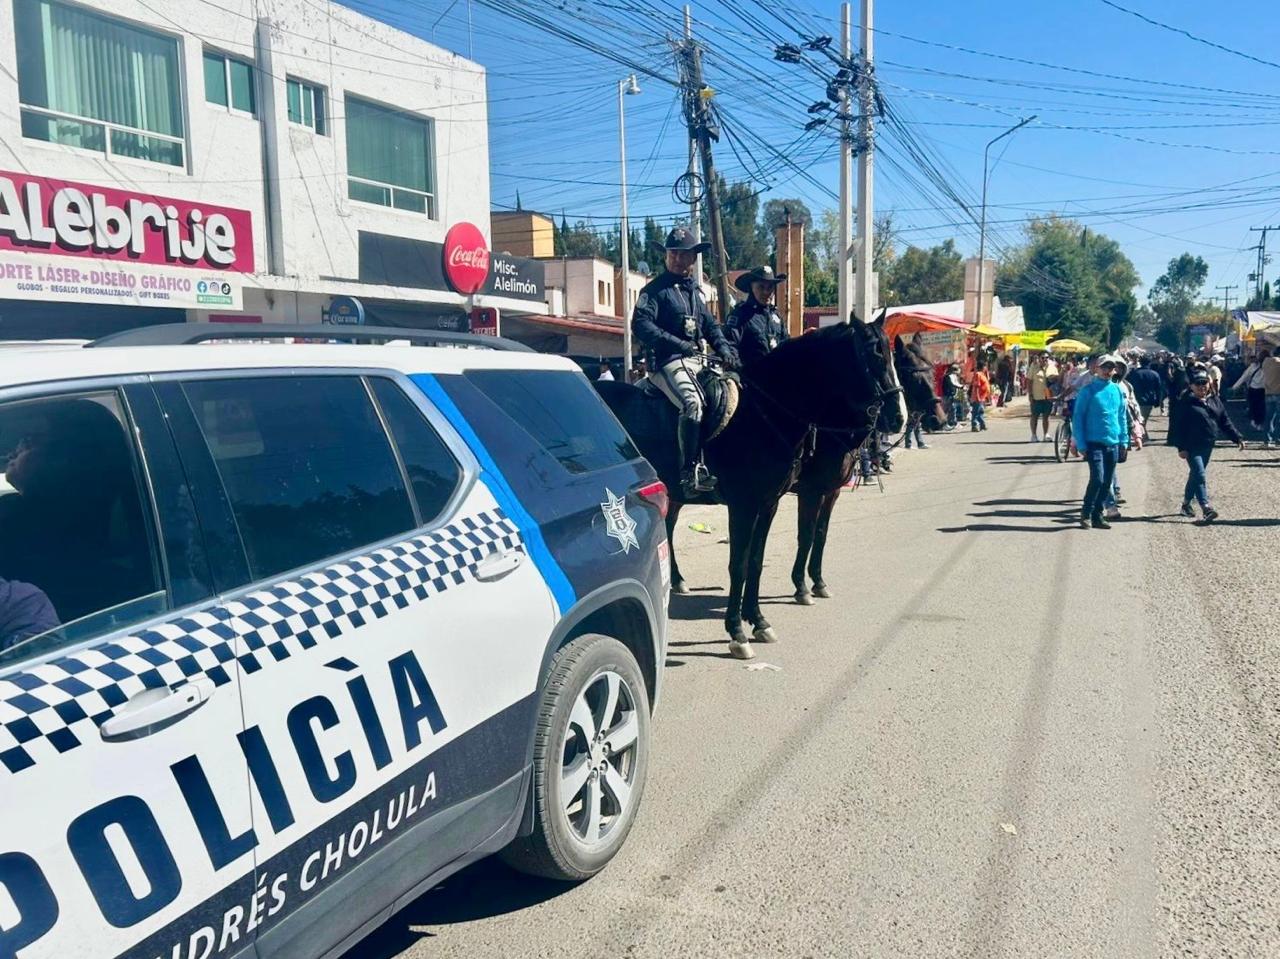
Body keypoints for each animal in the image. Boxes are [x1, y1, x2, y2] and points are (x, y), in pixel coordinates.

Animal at [596, 316, 906, 660]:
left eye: (894, 357)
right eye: (873, 355)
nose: (898, 417)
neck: (765, 415)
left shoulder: (776, 502)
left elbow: (763, 558)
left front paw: (758, 619)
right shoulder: (757, 503)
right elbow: (746, 561)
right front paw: (738, 630)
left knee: (670, 528)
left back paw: (677, 580)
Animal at [788, 340, 942, 601]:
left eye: (931, 372)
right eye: (914, 375)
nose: (940, 419)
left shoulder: (831, 492)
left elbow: (821, 533)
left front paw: (818, 581)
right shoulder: (810, 492)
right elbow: (806, 535)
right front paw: (800, 586)